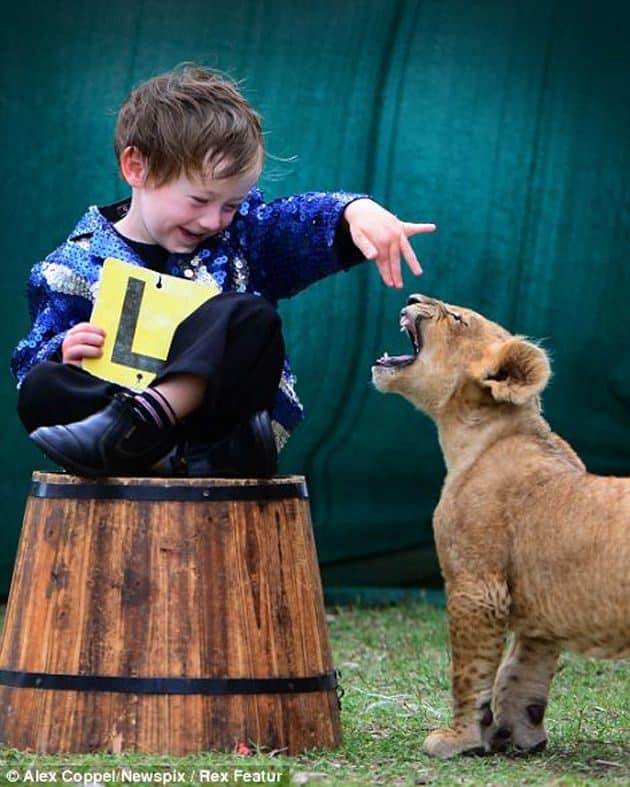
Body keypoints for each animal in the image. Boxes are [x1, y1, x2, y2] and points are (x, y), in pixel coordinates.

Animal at [372, 293, 629, 759]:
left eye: (457, 317)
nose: (414, 297)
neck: (477, 435)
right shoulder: (542, 604)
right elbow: (522, 668)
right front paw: (521, 735)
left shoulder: (477, 586)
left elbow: (470, 670)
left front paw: (460, 739)